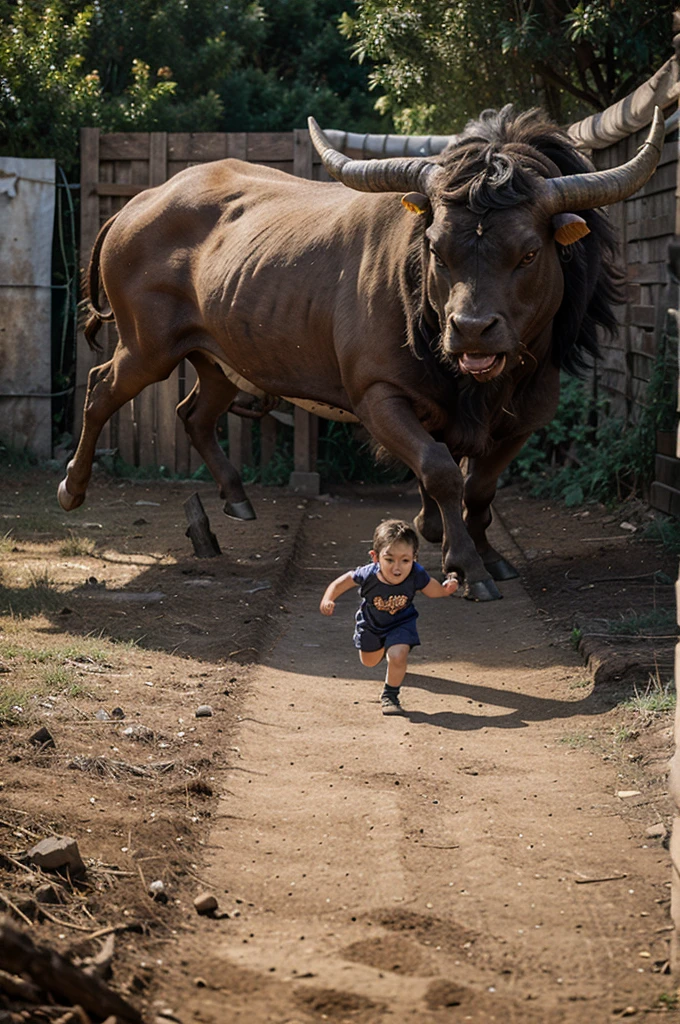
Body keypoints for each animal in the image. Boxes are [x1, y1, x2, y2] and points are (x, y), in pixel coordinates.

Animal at [58, 103, 663, 598]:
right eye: (435, 248)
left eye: (530, 253)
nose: (470, 329)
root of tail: (141, 201)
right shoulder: (378, 395)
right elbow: (441, 469)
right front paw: (466, 563)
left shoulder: (528, 412)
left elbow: (480, 485)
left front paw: (481, 549)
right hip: (147, 347)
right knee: (100, 390)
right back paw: (73, 487)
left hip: (221, 354)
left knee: (195, 411)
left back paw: (235, 495)